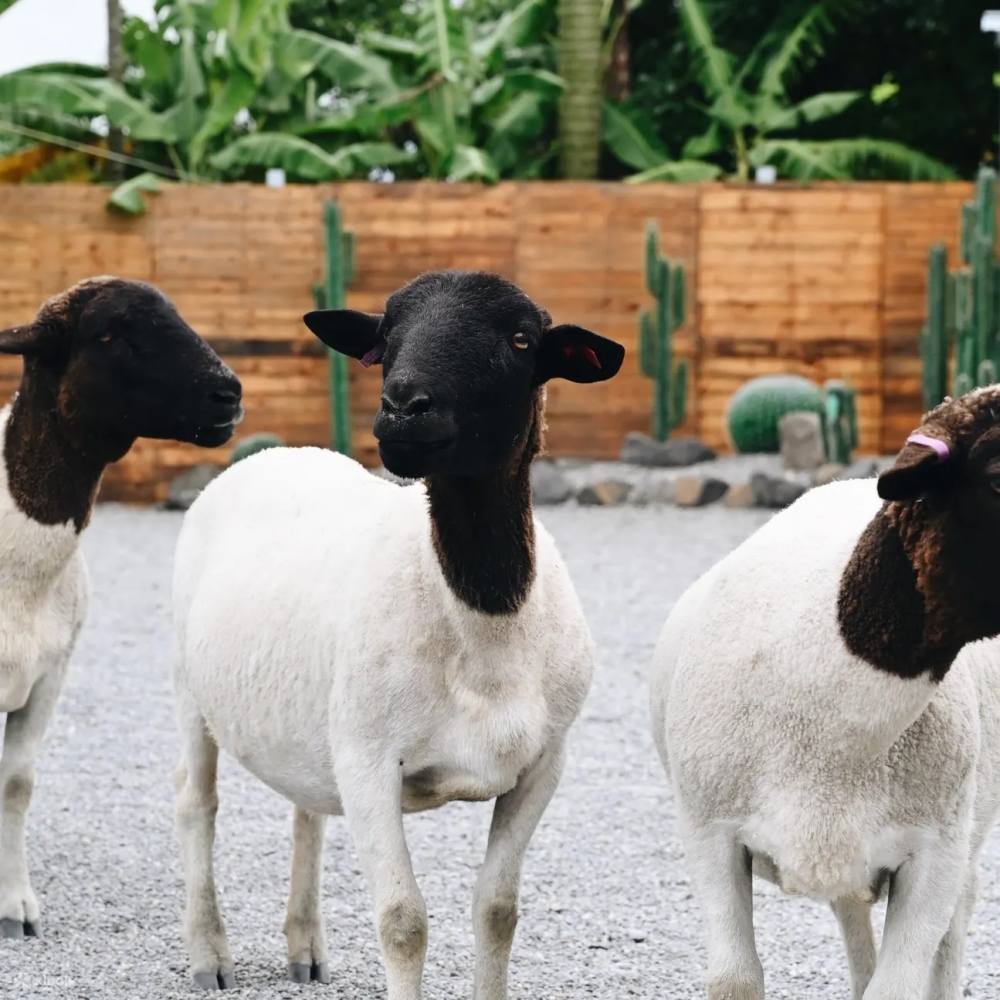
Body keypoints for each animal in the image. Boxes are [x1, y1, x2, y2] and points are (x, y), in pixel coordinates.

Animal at [172, 270, 624, 996]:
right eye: (383, 340)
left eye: (521, 338)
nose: (403, 408)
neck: (483, 626)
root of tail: (275, 453)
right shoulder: (369, 761)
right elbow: (403, 922)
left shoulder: (543, 764)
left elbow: (498, 910)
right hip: (190, 688)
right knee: (196, 803)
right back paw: (209, 953)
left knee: (306, 812)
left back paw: (305, 947)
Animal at [648, 388, 1000, 1000]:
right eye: (998, 475)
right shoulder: (709, 833)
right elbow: (735, 980)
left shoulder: (937, 853)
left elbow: (898, 985)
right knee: (852, 916)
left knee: (955, 927)